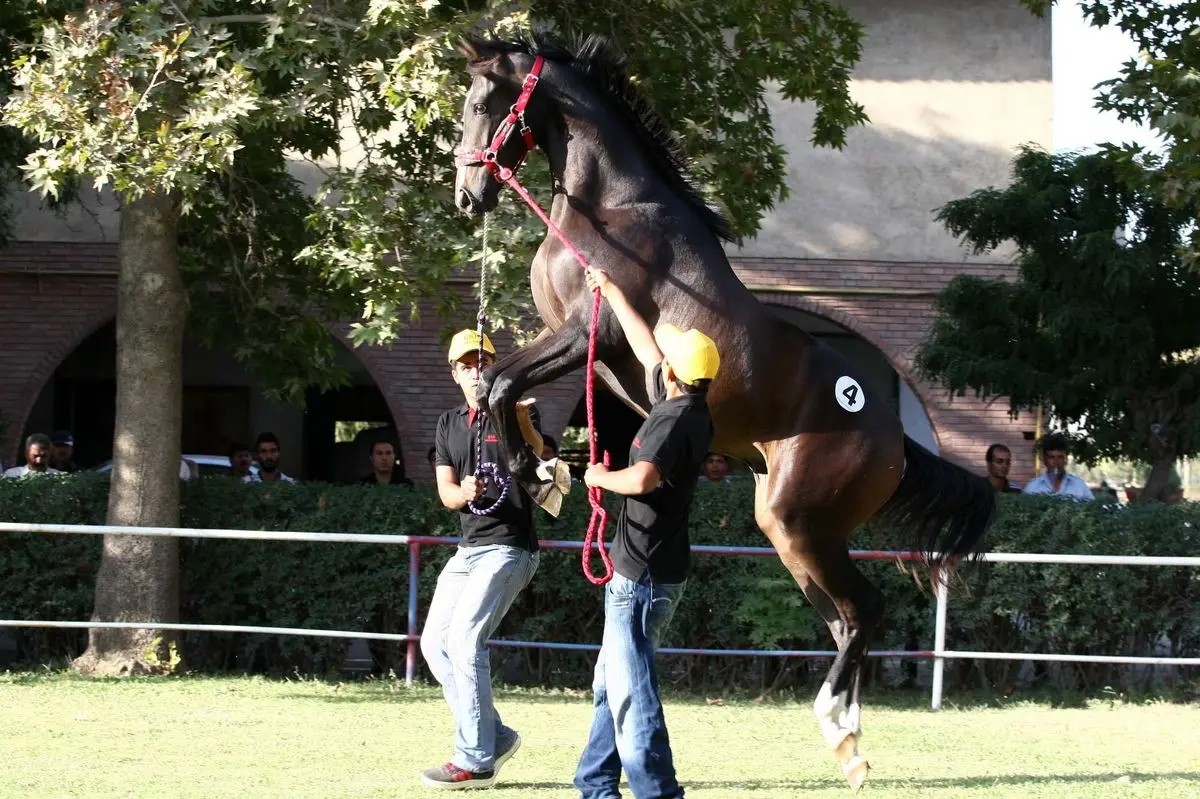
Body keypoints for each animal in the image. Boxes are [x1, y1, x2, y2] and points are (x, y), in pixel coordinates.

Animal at [451, 32, 993, 791]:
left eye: (480, 104)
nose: (468, 194)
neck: (612, 215)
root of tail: (897, 439)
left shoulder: (586, 336)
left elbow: (500, 383)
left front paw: (537, 474)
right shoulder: (585, 356)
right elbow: (509, 394)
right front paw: (547, 471)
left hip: (799, 524)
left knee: (864, 611)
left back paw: (840, 729)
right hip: (791, 530)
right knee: (846, 620)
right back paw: (848, 743)